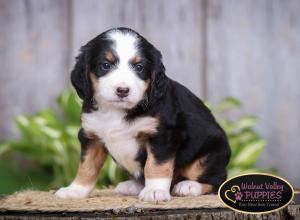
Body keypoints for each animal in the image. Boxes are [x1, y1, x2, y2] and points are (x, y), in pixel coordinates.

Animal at [55, 27, 231, 201]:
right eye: (105, 65)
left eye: (139, 67)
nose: (123, 90)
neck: (116, 111)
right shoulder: (91, 136)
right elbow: (87, 166)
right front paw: (75, 190)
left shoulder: (162, 135)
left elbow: (156, 165)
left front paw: (155, 191)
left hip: (211, 154)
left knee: (217, 180)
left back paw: (189, 186)